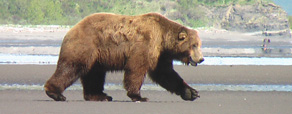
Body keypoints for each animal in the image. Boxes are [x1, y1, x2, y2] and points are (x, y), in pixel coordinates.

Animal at [44, 12, 204, 101]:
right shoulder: (144, 44)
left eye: (199, 44)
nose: (201, 59)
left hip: (96, 57)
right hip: (86, 45)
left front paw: (191, 93)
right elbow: (136, 69)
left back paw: (100, 96)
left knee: (94, 75)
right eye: (194, 45)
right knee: (71, 67)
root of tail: (72, 29)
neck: (163, 39)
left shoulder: (160, 55)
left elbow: (166, 74)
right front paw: (138, 96)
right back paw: (55, 93)